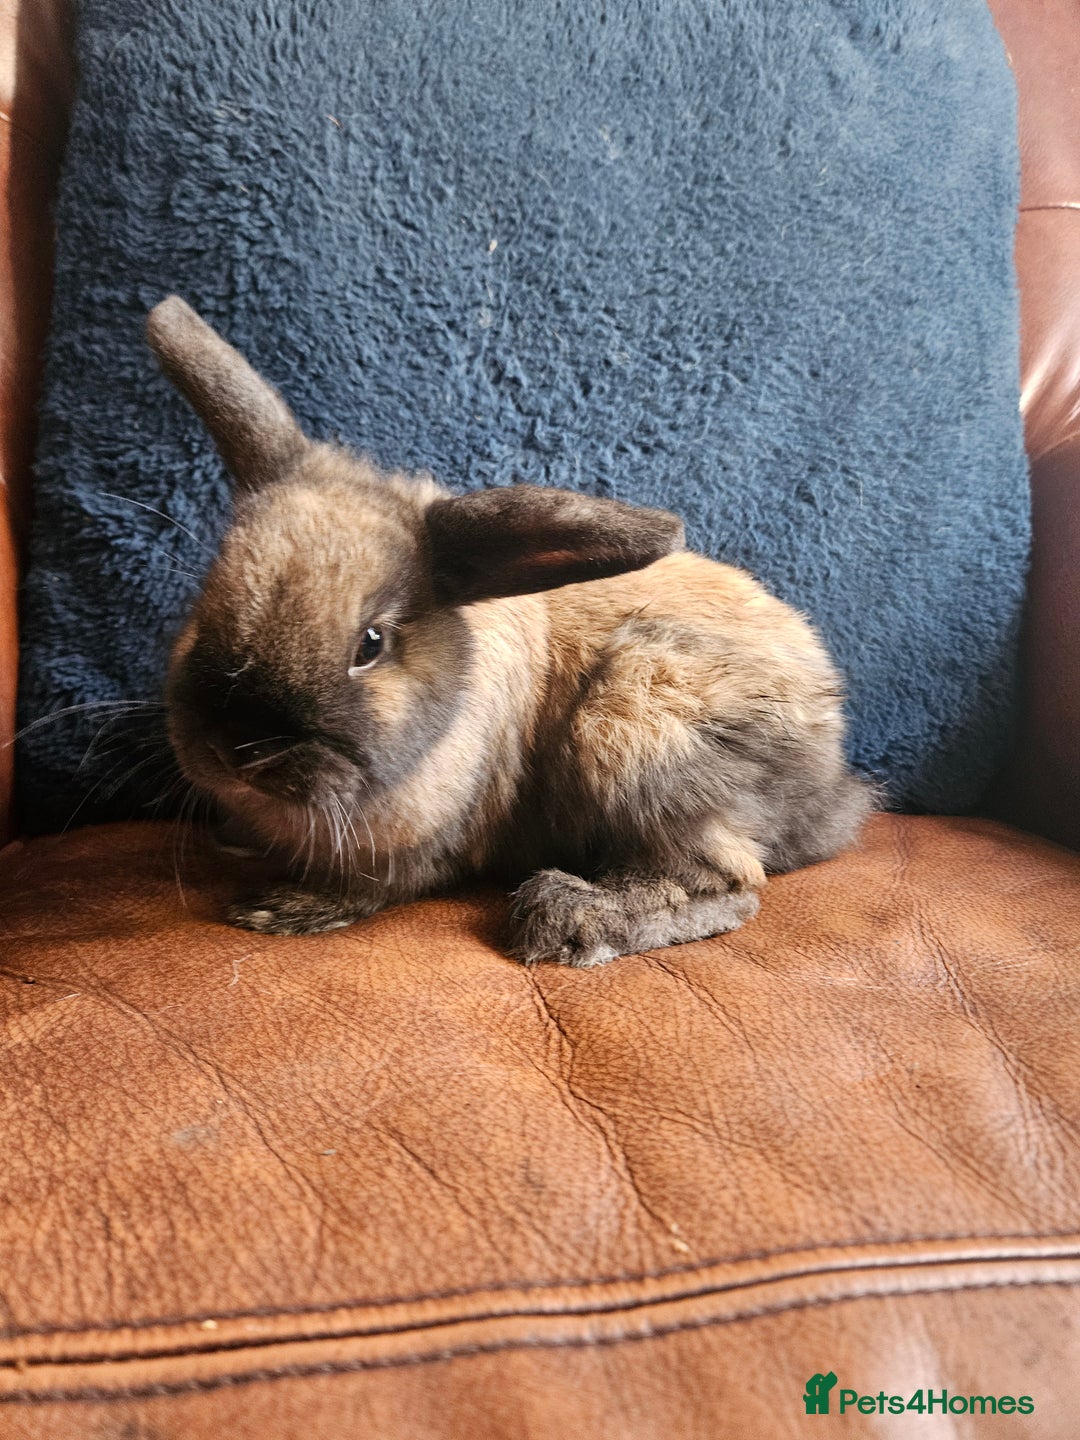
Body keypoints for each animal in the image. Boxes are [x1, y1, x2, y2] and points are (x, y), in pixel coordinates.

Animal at [148, 296, 872, 966]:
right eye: (207, 601)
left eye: (371, 644)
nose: (234, 747)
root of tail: (830, 786)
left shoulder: (417, 849)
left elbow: (372, 889)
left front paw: (282, 909)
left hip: (639, 723)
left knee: (727, 886)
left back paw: (567, 917)